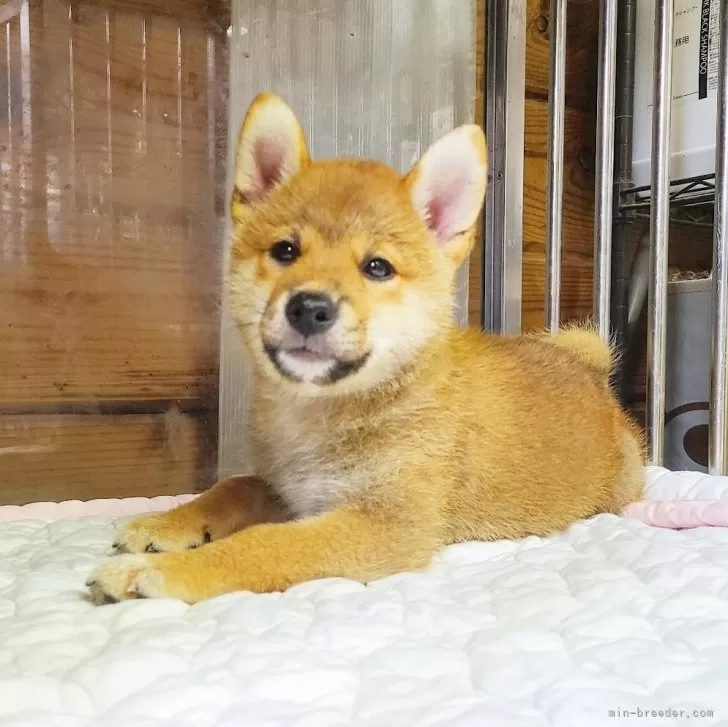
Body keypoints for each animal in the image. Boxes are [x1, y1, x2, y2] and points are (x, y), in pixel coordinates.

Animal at [85, 91, 644, 604]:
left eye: (377, 267)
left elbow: (265, 545)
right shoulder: (296, 491)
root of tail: (589, 370)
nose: (309, 307)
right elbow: (233, 485)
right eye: (285, 251)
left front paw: (156, 574)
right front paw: (167, 523)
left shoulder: (386, 525)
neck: (324, 414)